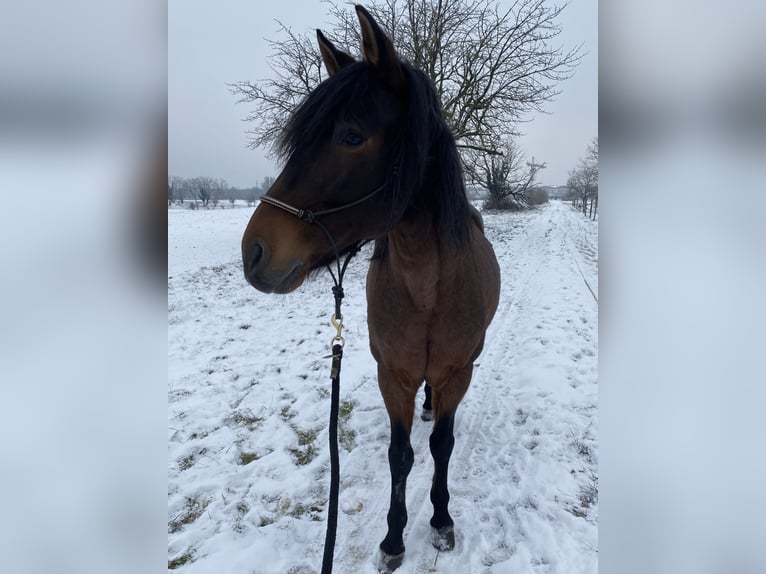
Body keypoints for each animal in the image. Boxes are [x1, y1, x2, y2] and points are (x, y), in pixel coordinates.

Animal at [243, 4, 500, 572]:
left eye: (352, 136)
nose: (254, 253)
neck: (427, 288)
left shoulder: (457, 372)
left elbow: (442, 446)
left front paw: (441, 520)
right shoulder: (393, 376)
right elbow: (400, 457)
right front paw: (394, 538)